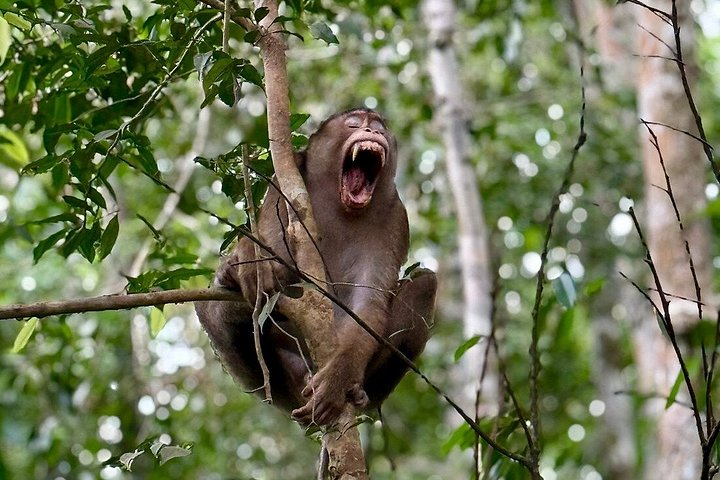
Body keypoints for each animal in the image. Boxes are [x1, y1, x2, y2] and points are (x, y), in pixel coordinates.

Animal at [195, 108, 437, 426]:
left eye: (379, 128)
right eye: (354, 124)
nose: (373, 131)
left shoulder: (395, 218)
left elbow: (368, 303)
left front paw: (338, 381)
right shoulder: (283, 183)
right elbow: (275, 257)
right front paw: (244, 264)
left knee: (424, 282)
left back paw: (359, 392)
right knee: (214, 306)